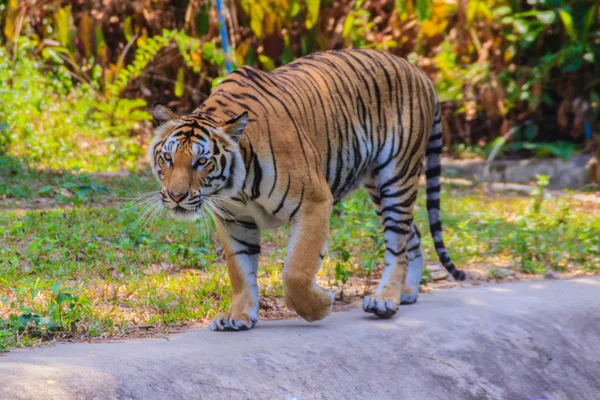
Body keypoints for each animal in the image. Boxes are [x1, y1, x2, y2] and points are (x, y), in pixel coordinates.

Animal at [148, 47, 466, 332]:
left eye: (201, 161)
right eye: (168, 158)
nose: (176, 196)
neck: (236, 187)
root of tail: (420, 73)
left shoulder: (314, 202)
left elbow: (296, 272)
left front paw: (321, 306)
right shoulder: (234, 219)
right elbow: (240, 270)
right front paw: (238, 316)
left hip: (396, 175)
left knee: (397, 240)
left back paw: (385, 300)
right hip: (377, 184)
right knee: (412, 234)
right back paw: (407, 292)